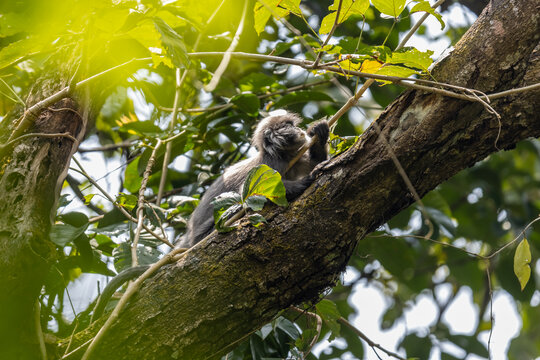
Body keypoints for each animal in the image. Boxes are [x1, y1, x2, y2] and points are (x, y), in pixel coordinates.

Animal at [178, 112, 330, 248]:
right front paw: (304, 182)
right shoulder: (271, 164)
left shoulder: (296, 159)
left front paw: (319, 131)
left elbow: (316, 162)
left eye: (292, 125)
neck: (280, 155)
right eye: (288, 125)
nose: (299, 129)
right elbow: (248, 193)